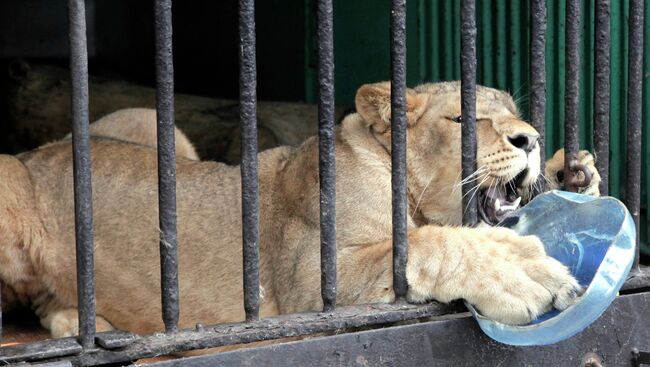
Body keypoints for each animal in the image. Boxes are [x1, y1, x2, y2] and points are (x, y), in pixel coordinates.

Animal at [0, 81, 596, 340]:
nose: (531, 139)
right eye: (463, 119)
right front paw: (521, 272)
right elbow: (432, 244)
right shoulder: (310, 285)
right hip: (9, 179)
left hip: (150, 119)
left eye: (515, 112)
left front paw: (576, 174)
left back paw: (76, 318)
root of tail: (39, 150)